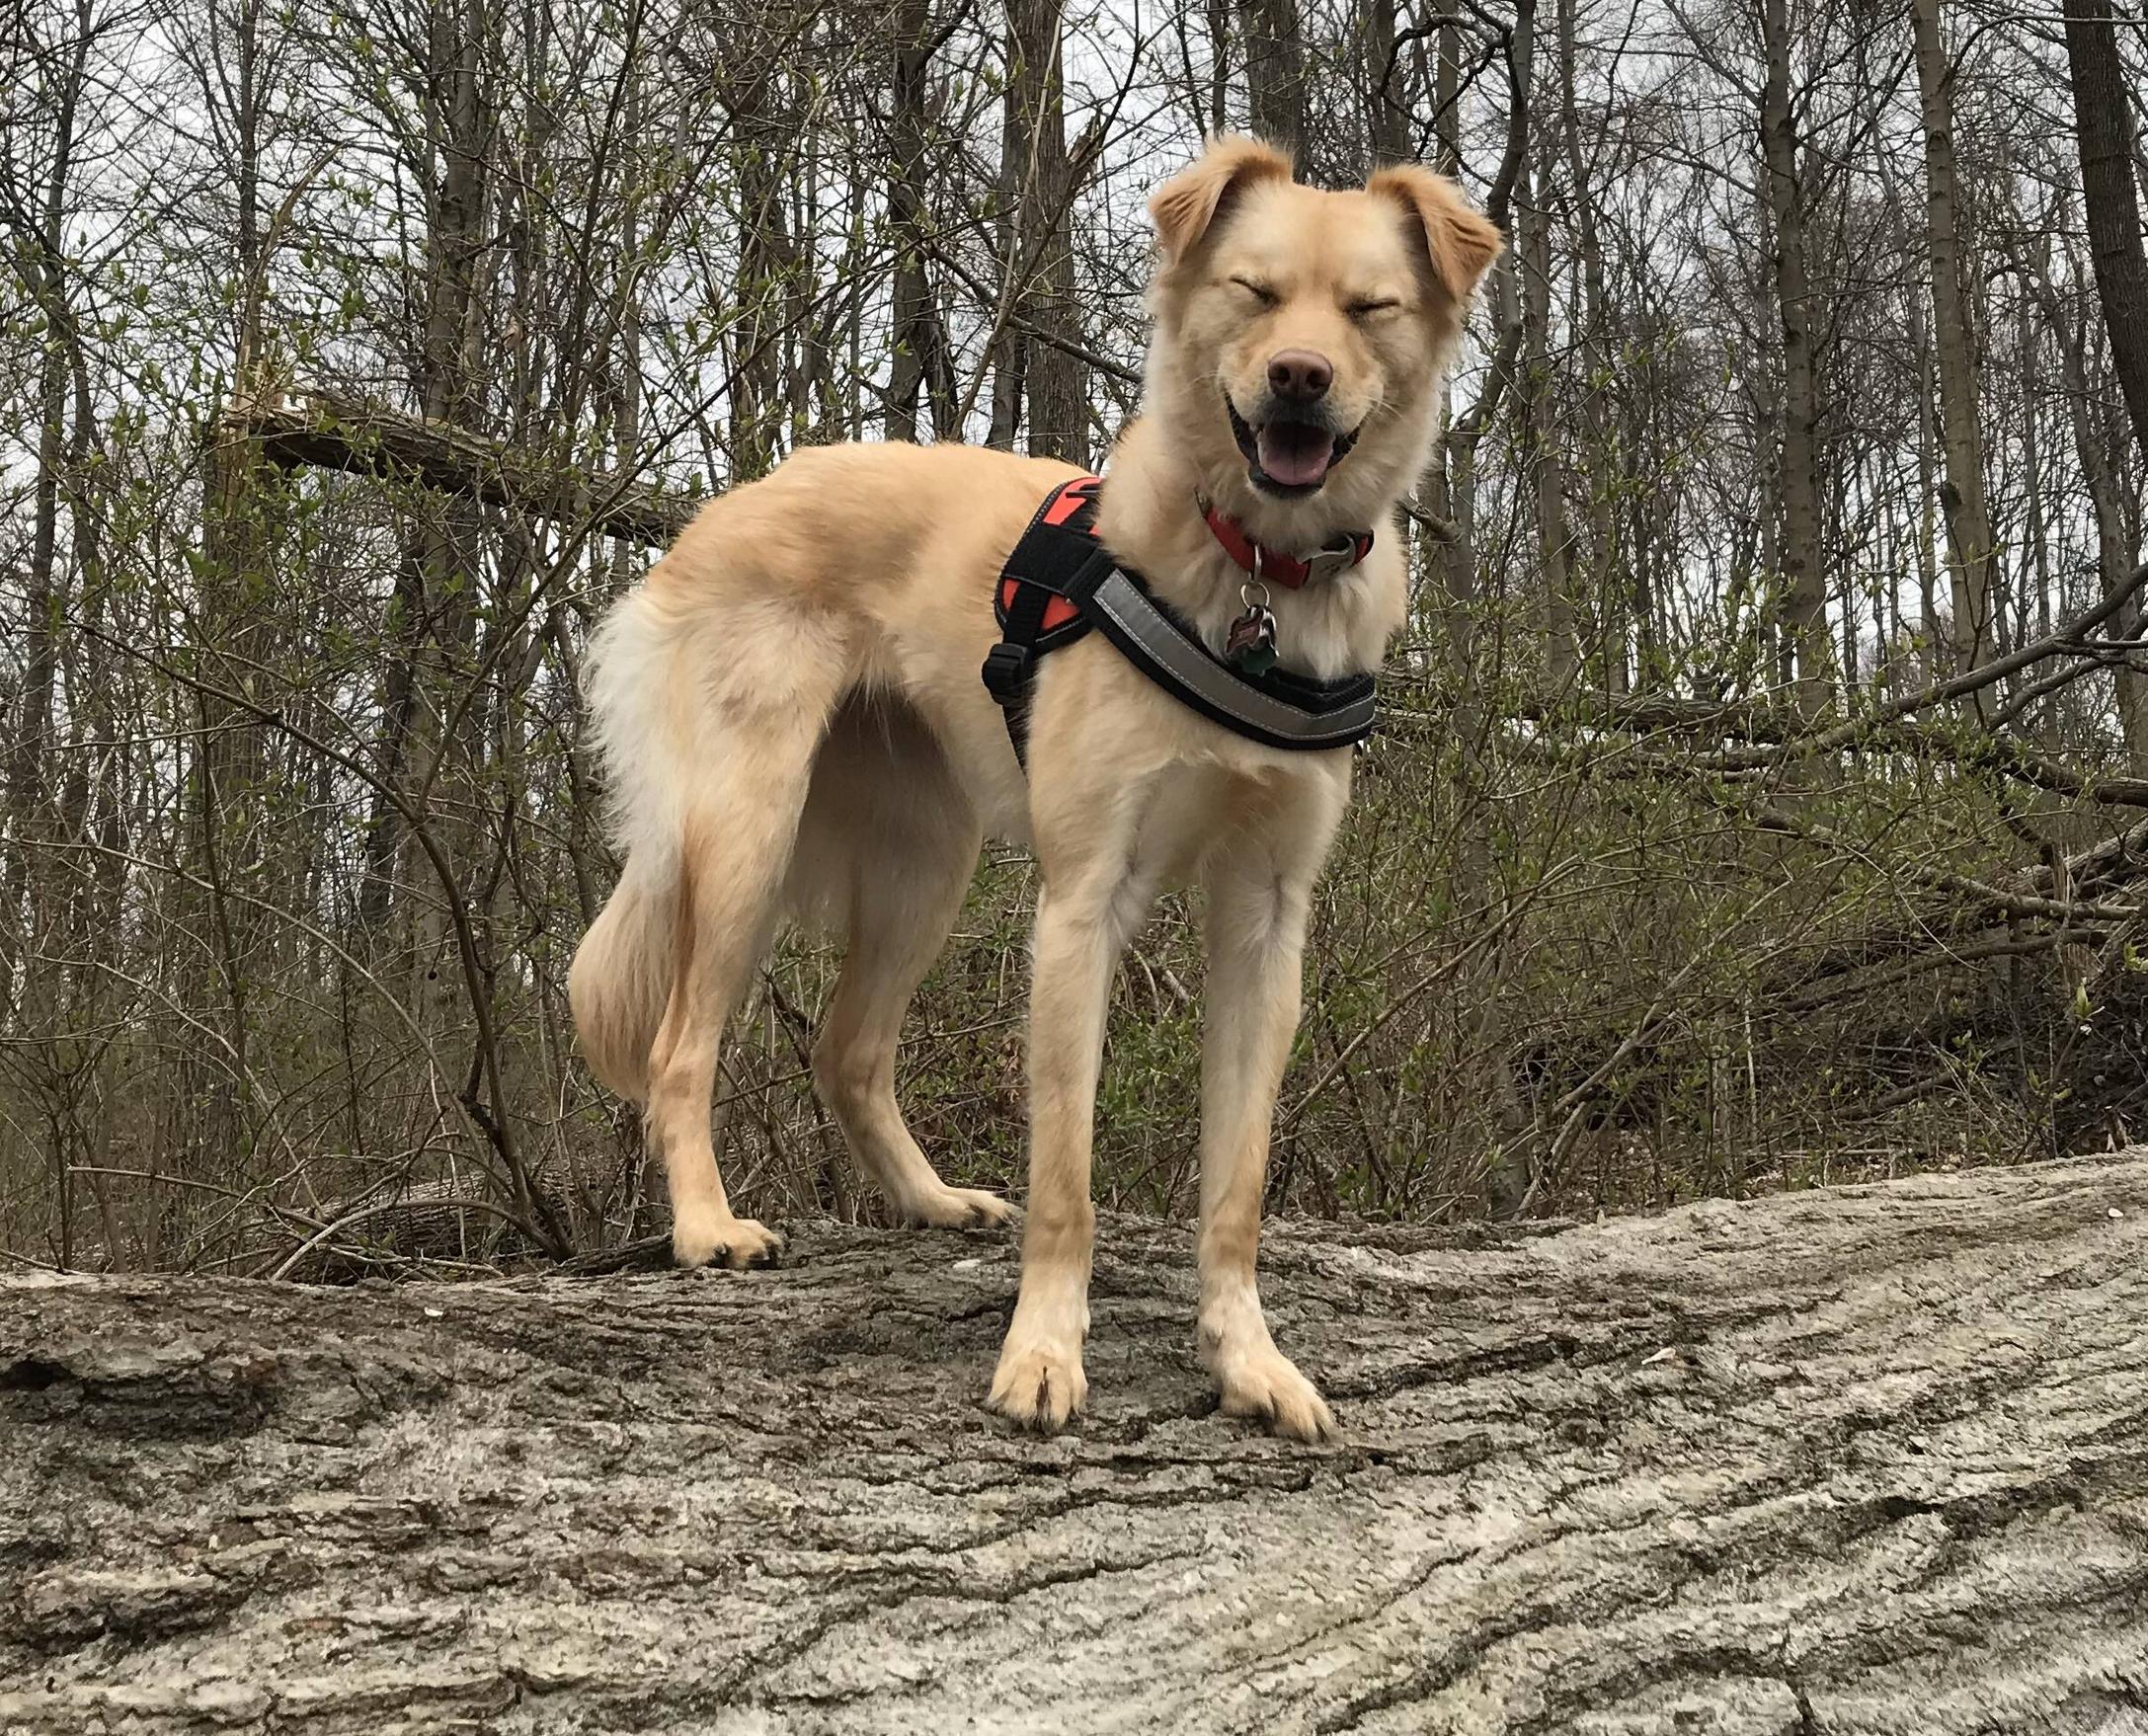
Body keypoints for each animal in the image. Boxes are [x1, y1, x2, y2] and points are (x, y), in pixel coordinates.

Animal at [580, 131, 1503, 1435]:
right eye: (1255, 292)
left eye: (1371, 309)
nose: (1299, 379)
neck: (1252, 578)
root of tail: (720, 511)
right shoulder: (1083, 906)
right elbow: (1069, 1174)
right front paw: (1044, 1353)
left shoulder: (1266, 921)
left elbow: (1238, 1184)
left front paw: (1247, 1357)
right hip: (747, 834)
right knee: (680, 1049)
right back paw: (708, 1226)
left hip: (926, 864)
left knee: (848, 1053)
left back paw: (927, 1202)